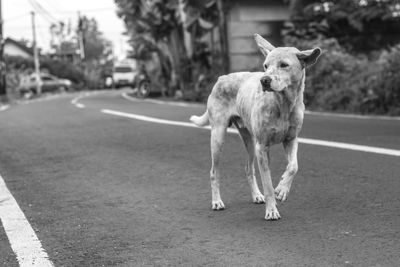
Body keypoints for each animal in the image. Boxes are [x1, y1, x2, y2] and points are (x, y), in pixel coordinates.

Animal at [188, 34, 322, 221]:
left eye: (284, 65)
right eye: (265, 66)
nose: (264, 80)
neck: (283, 103)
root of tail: (221, 78)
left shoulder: (291, 140)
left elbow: (293, 166)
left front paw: (282, 188)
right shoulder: (262, 147)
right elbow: (267, 183)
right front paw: (271, 210)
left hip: (250, 142)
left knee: (248, 168)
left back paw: (257, 195)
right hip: (219, 137)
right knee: (214, 171)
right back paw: (217, 201)